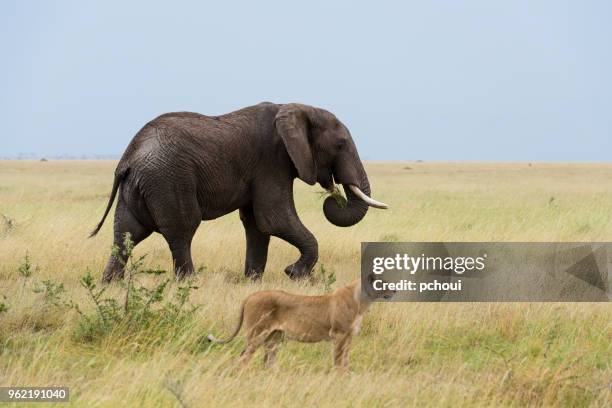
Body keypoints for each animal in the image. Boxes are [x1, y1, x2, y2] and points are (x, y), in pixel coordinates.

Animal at [89, 101, 388, 284]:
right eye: (340, 145)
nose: (333, 195)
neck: (297, 108)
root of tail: (128, 156)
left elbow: (257, 224)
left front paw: (252, 281)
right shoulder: (272, 162)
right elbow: (274, 218)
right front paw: (294, 274)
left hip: (138, 186)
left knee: (126, 234)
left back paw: (109, 284)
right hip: (168, 180)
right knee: (182, 230)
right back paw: (190, 284)